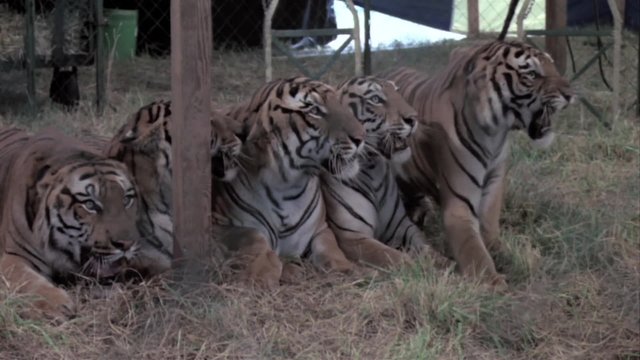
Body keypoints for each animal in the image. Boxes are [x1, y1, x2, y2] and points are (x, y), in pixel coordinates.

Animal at [0, 126, 141, 318]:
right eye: (90, 204)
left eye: (126, 200)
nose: (126, 244)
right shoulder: (14, 257)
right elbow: (28, 280)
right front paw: (57, 305)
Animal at [322, 75, 448, 268]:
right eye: (375, 99)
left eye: (397, 92)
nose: (414, 118)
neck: (371, 167)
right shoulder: (352, 236)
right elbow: (393, 256)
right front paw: (418, 267)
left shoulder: (402, 226)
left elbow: (425, 245)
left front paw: (443, 261)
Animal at [380, 40, 576, 286]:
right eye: (532, 74)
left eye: (554, 67)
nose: (570, 95)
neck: (494, 135)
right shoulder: (459, 205)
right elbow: (474, 251)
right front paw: (493, 280)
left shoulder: (494, 185)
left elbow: (491, 234)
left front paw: (519, 257)